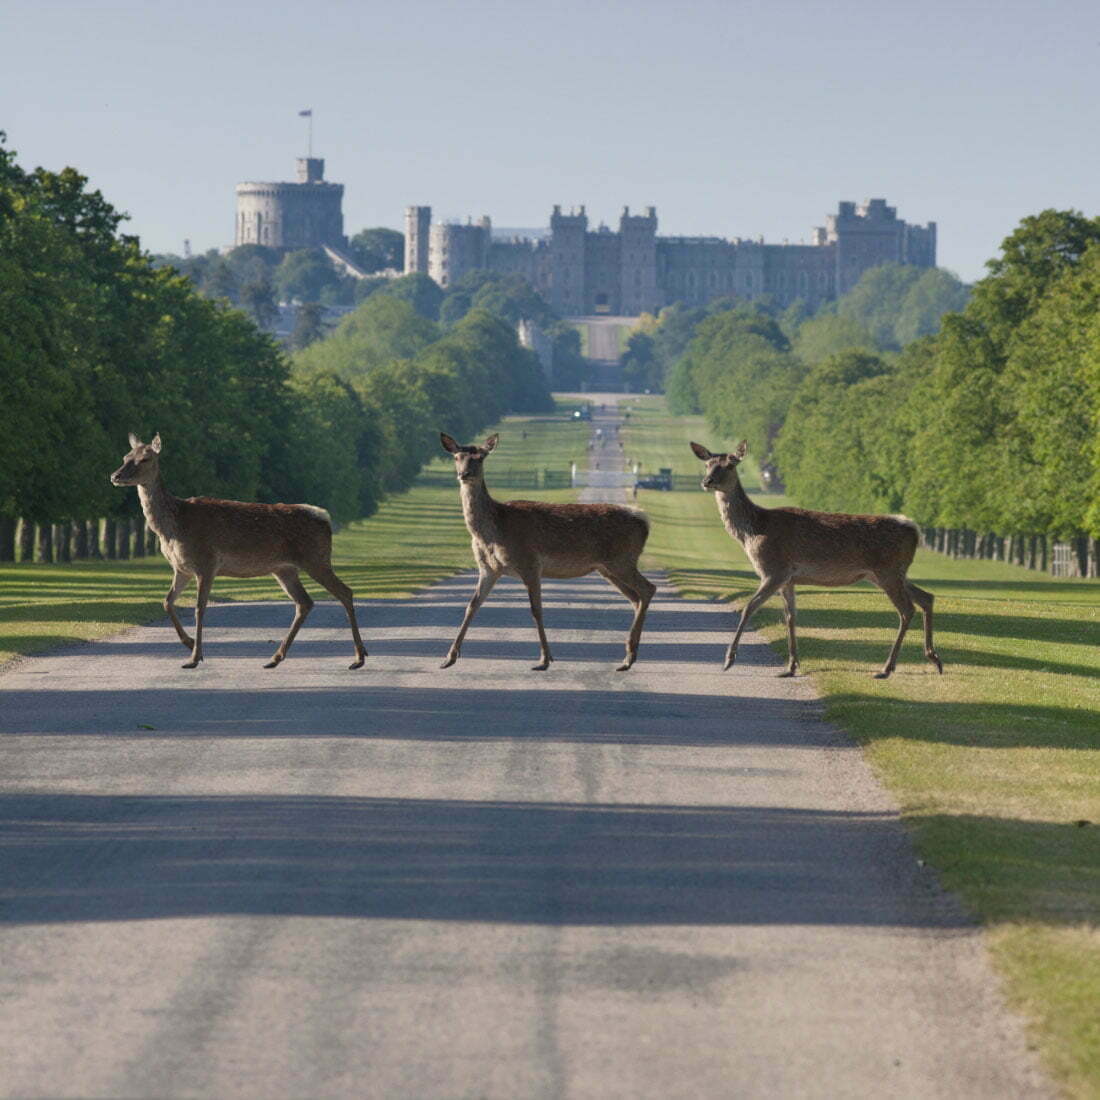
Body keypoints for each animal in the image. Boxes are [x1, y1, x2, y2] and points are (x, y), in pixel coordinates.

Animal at [112, 431, 369, 668]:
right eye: (126, 456)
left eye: (145, 458)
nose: (115, 475)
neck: (173, 527)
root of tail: (325, 518)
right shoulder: (181, 568)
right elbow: (167, 602)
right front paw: (189, 644)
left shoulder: (207, 562)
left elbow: (199, 608)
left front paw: (194, 657)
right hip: (284, 569)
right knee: (305, 602)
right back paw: (275, 657)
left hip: (316, 558)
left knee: (345, 592)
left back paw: (359, 657)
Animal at [442, 433, 655, 673]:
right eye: (457, 457)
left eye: (480, 457)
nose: (464, 474)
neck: (494, 530)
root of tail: (645, 522)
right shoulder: (488, 569)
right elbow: (472, 606)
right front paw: (449, 658)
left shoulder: (530, 563)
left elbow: (536, 610)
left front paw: (544, 660)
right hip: (608, 569)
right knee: (636, 598)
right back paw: (629, 657)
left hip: (622, 560)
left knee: (648, 589)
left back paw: (628, 657)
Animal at [690, 440, 941, 677]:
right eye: (708, 464)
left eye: (731, 465)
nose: (707, 481)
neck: (753, 531)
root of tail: (914, 529)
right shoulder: (788, 578)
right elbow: (790, 616)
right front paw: (791, 666)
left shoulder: (774, 569)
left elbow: (748, 608)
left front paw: (728, 660)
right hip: (890, 573)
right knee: (926, 597)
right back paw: (934, 659)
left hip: (887, 570)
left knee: (907, 609)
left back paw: (887, 668)